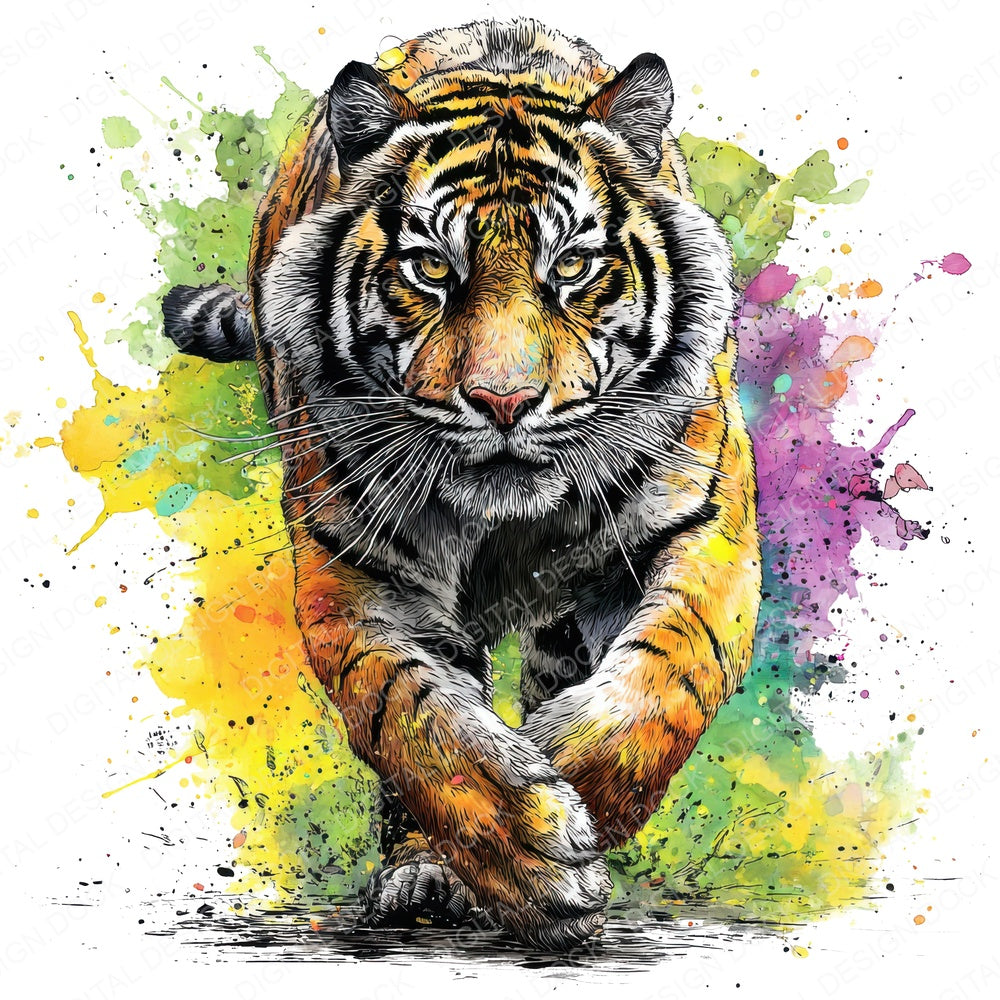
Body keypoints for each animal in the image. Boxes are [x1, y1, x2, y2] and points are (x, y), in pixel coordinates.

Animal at [162, 18, 761, 949]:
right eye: (433, 270)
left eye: (573, 266)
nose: (503, 400)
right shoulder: (360, 583)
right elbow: (419, 723)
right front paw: (533, 851)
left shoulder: (702, 530)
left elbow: (666, 678)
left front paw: (574, 786)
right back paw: (425, 876)